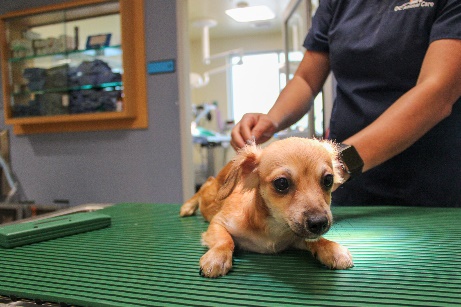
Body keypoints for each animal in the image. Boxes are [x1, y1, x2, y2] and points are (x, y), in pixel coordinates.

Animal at [180, 138, 352, 280]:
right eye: (281, 183)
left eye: (328, 180)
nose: (319, 223)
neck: (273, 227)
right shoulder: (218, 222)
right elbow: (225, 240)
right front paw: (217, 257)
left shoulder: (295, 237)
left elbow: (314, 240)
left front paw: (331, 248)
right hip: (209, 203)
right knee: (206, 184)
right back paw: (187, 206)